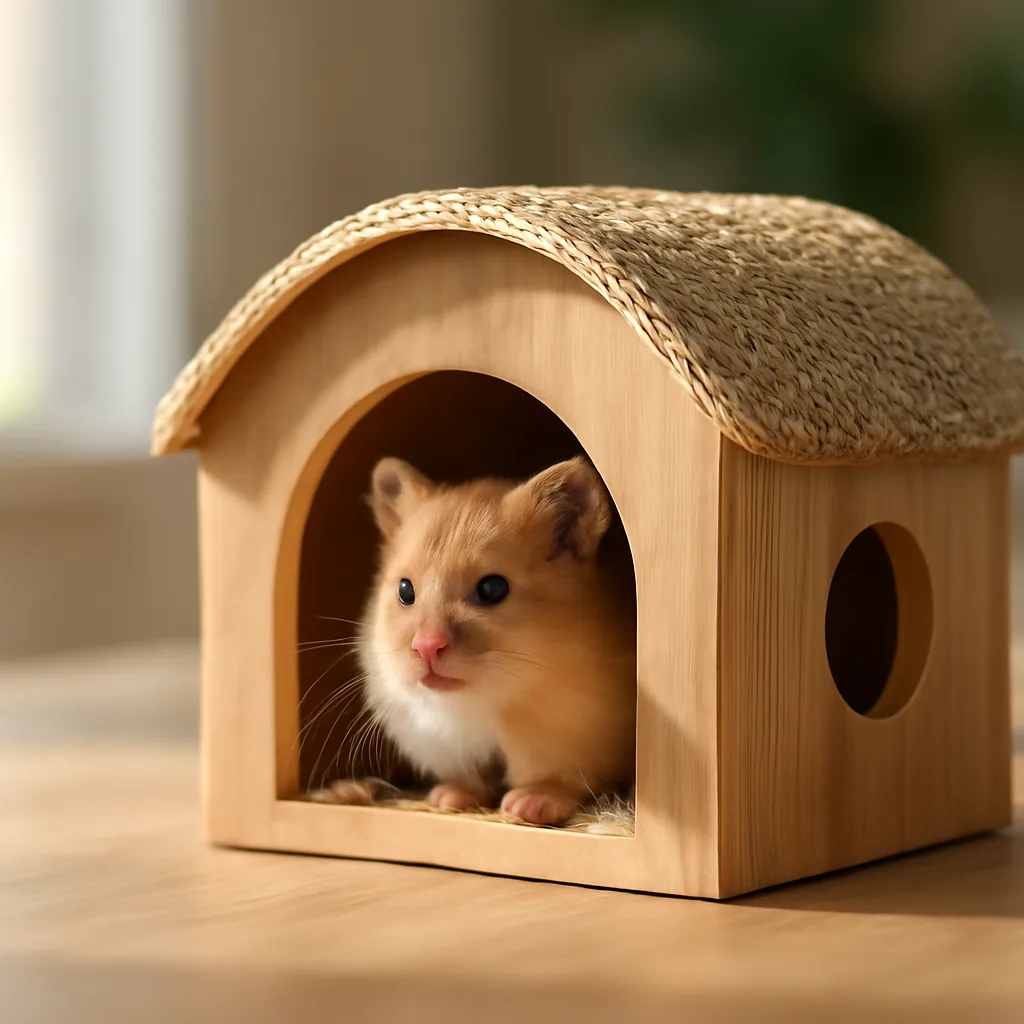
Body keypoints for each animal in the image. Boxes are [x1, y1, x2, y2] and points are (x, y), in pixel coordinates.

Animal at [330, 455, 635, 826]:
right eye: (404, 590)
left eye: (492, 588)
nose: (426, 646)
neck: (486, 695)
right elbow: (474, 778)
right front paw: (447, 797)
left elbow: (563, 779)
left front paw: (524, 804)